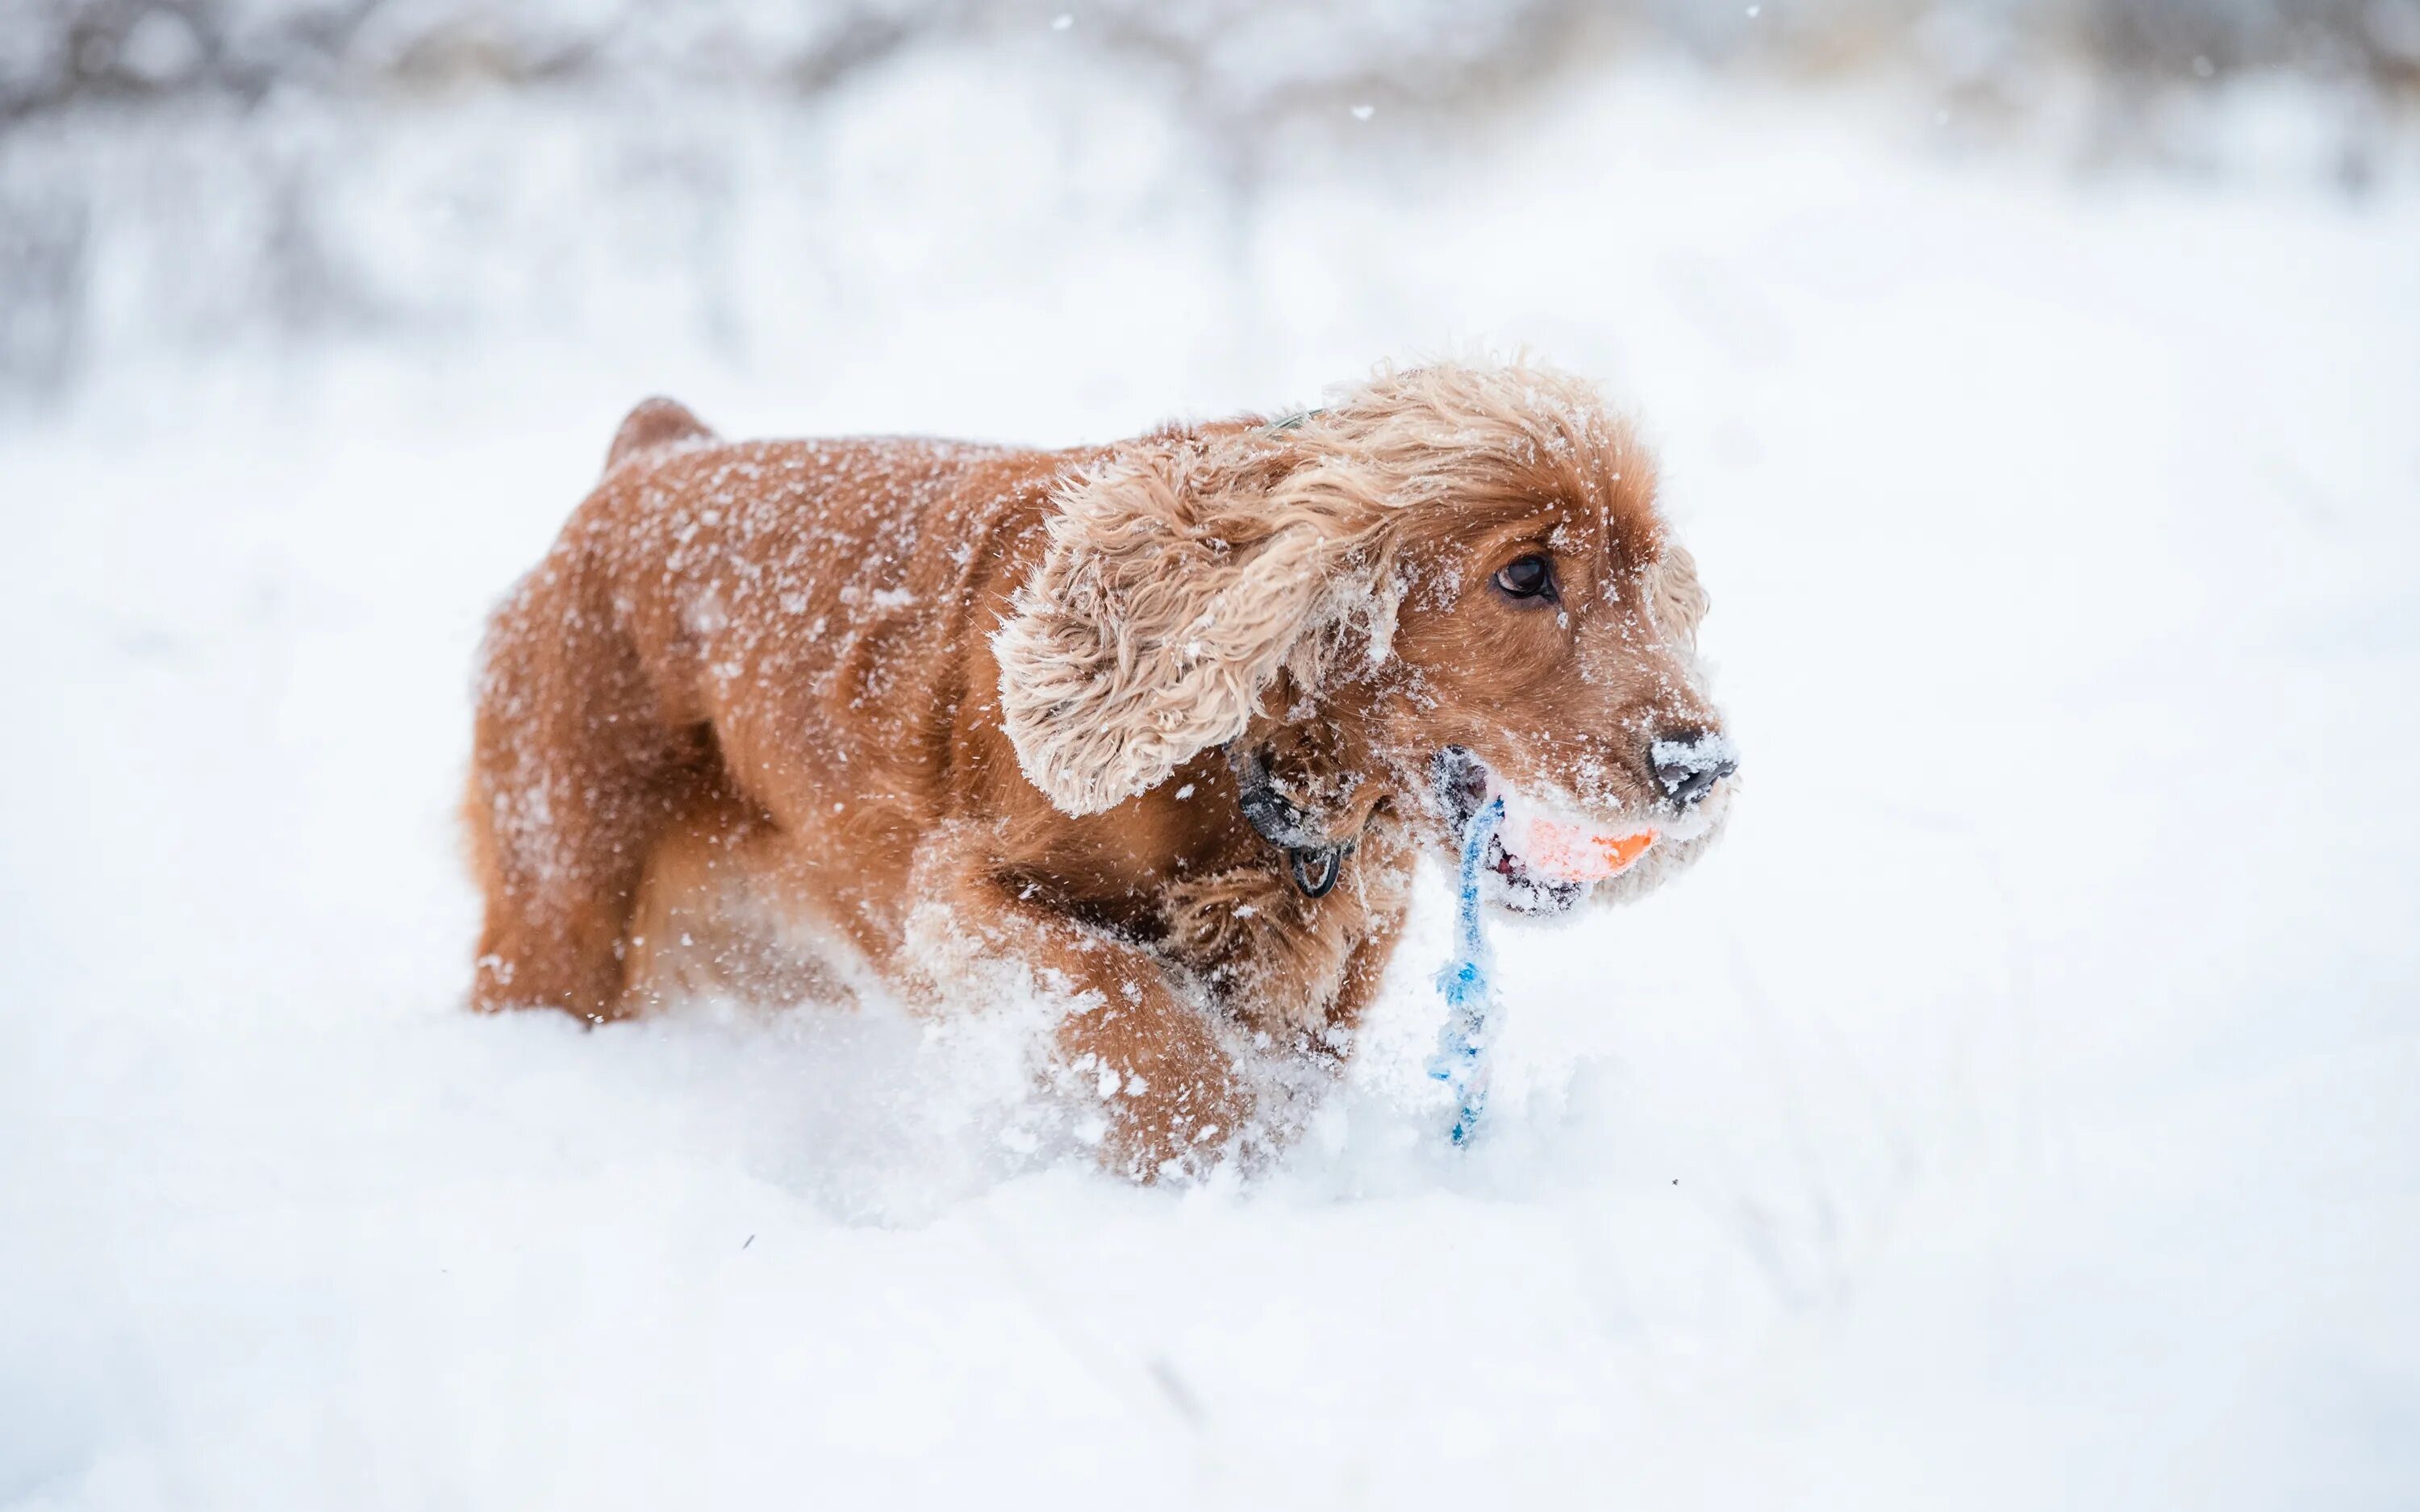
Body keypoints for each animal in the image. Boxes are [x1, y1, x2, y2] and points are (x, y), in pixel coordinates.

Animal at [462, 363, 1733, 1181]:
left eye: (1654, 576)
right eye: (1523, 575)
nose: (1702, 765)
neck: (1249, 765)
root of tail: (654, 454)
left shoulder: (1337, 969)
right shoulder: (961, 895)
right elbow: (1131, 1003)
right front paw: (1201, 1153)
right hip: (562, 900)